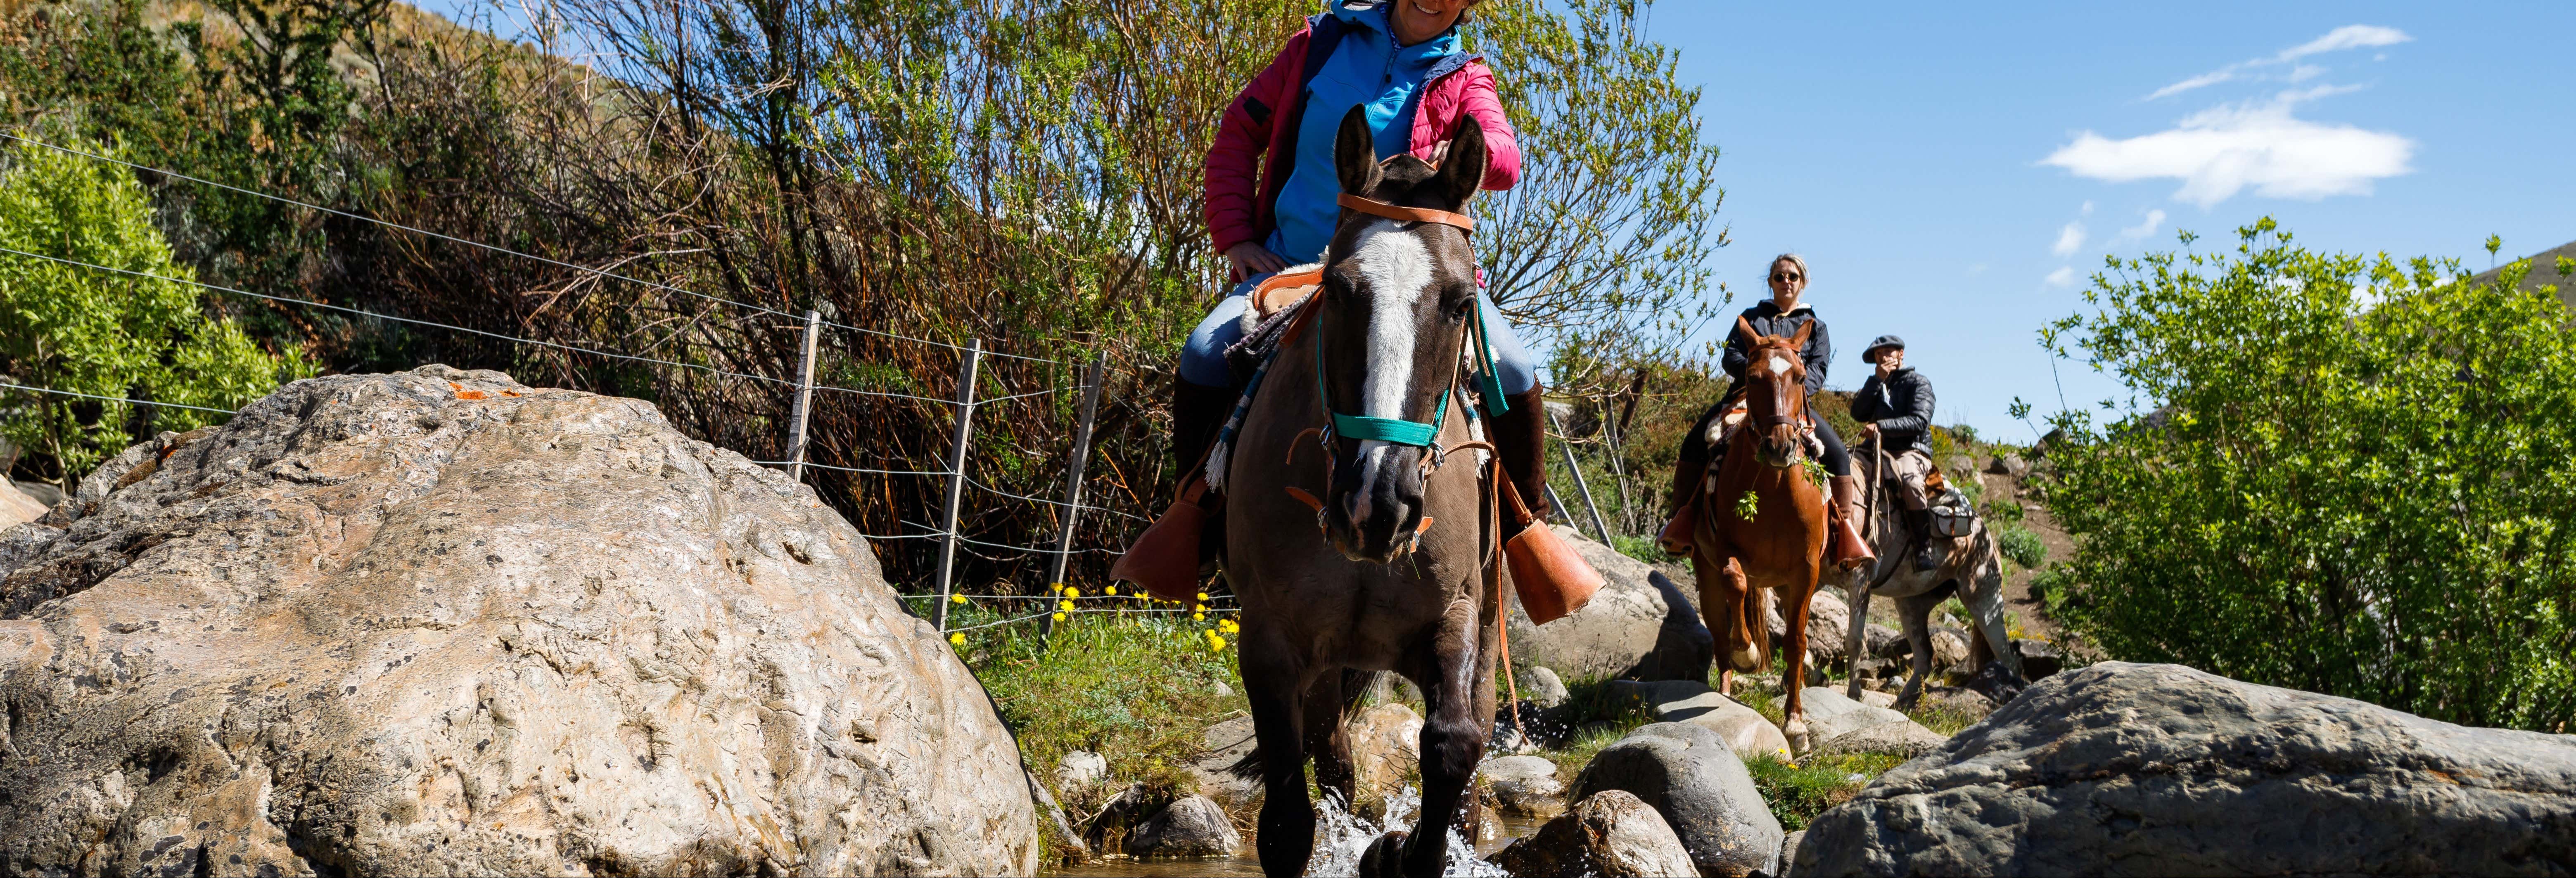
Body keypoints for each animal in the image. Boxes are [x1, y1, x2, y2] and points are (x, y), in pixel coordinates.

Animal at [1222, 107, 1508, 878]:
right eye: (1341, 288)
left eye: (1459, 302)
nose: (1376, 505)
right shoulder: (1270, 642)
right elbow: (1286, 824)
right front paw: (1376, 848)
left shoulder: (1454, 616)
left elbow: (1453, 745)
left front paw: (1402, 852)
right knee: (1335, 765)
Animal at [1688, 319, 1831, 750]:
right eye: (1753, 378)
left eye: (1800, 376)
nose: (1780, 447)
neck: (1774, 489)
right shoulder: (1724, 552)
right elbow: (1735, 581)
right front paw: (1747, 652)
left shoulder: (1806, 572)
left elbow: (1798, 642)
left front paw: (1796, 723)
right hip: (1706, 574)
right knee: (1719, 632)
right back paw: (1726, 686)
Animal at [1835, 440, 2025, 709]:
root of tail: (1987, 536)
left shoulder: (1860, 581)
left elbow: (1854, 641)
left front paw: (1853, 695)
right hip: (1911, 605)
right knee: (1925, 658)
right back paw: (1902, 704)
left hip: (1986, 605)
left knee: (2009, 658)